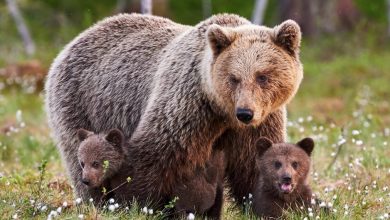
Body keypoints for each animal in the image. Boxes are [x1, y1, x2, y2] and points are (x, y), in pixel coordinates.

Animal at [45, 13, 302, 211]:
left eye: (263, 76)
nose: (245, 113)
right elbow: (154, 154)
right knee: (83, 155)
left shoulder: (260, 123)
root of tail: (75, 40)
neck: (221, 111)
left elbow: (255, 164)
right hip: (81, 104)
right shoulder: (187, 106)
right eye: (233, 78)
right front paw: (137, 204)